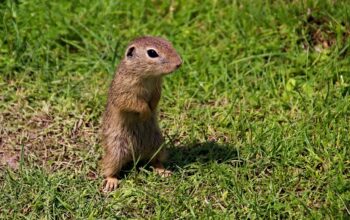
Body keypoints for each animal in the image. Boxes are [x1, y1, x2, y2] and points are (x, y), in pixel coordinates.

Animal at [101, 35, 182, 191]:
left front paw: (152, 109)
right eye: (152, 53)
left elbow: (156, 97)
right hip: (115, 151)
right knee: (109, 168)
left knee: (155, 161)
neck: (148, 76)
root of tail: (136, 156)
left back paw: (163, 171)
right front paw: (145, 113)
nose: (179, 63)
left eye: (168, 43)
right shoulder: (125, 92)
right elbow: (134, 103)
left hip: (158, 145)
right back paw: (111, 181)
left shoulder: (157, 86)